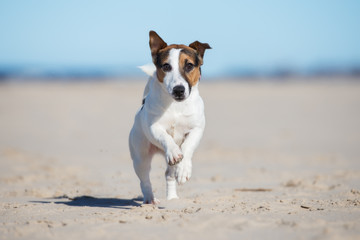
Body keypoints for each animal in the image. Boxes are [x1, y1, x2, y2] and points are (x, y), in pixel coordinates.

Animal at [129, 30, 211, 204]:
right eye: (166, 66)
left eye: (189, 65)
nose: (179, 90)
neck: (176, 106)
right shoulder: (154, 127)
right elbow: (165, 137)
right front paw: (173, 151)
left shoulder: (197, 129)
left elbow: (187, 146)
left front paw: (184, 169)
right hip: (140, 157)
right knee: (144, 180)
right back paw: (150, 200)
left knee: (169, 175)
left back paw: (172, 198)